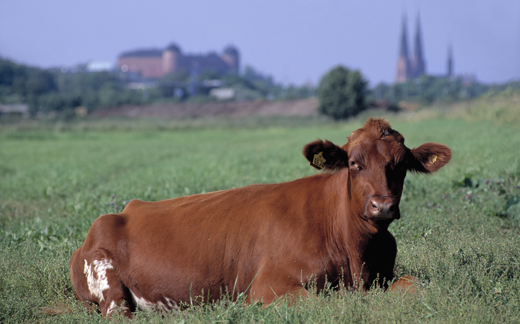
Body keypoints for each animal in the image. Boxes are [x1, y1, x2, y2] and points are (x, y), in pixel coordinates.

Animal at [69, 117, 450, 316]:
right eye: (354, 163)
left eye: (400, 165)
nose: (382, 207)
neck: (355, 252)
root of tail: (122, 211)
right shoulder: (269, 287)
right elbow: (319, 302)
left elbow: (413, 286)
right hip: (108, 283)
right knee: (119, 311)